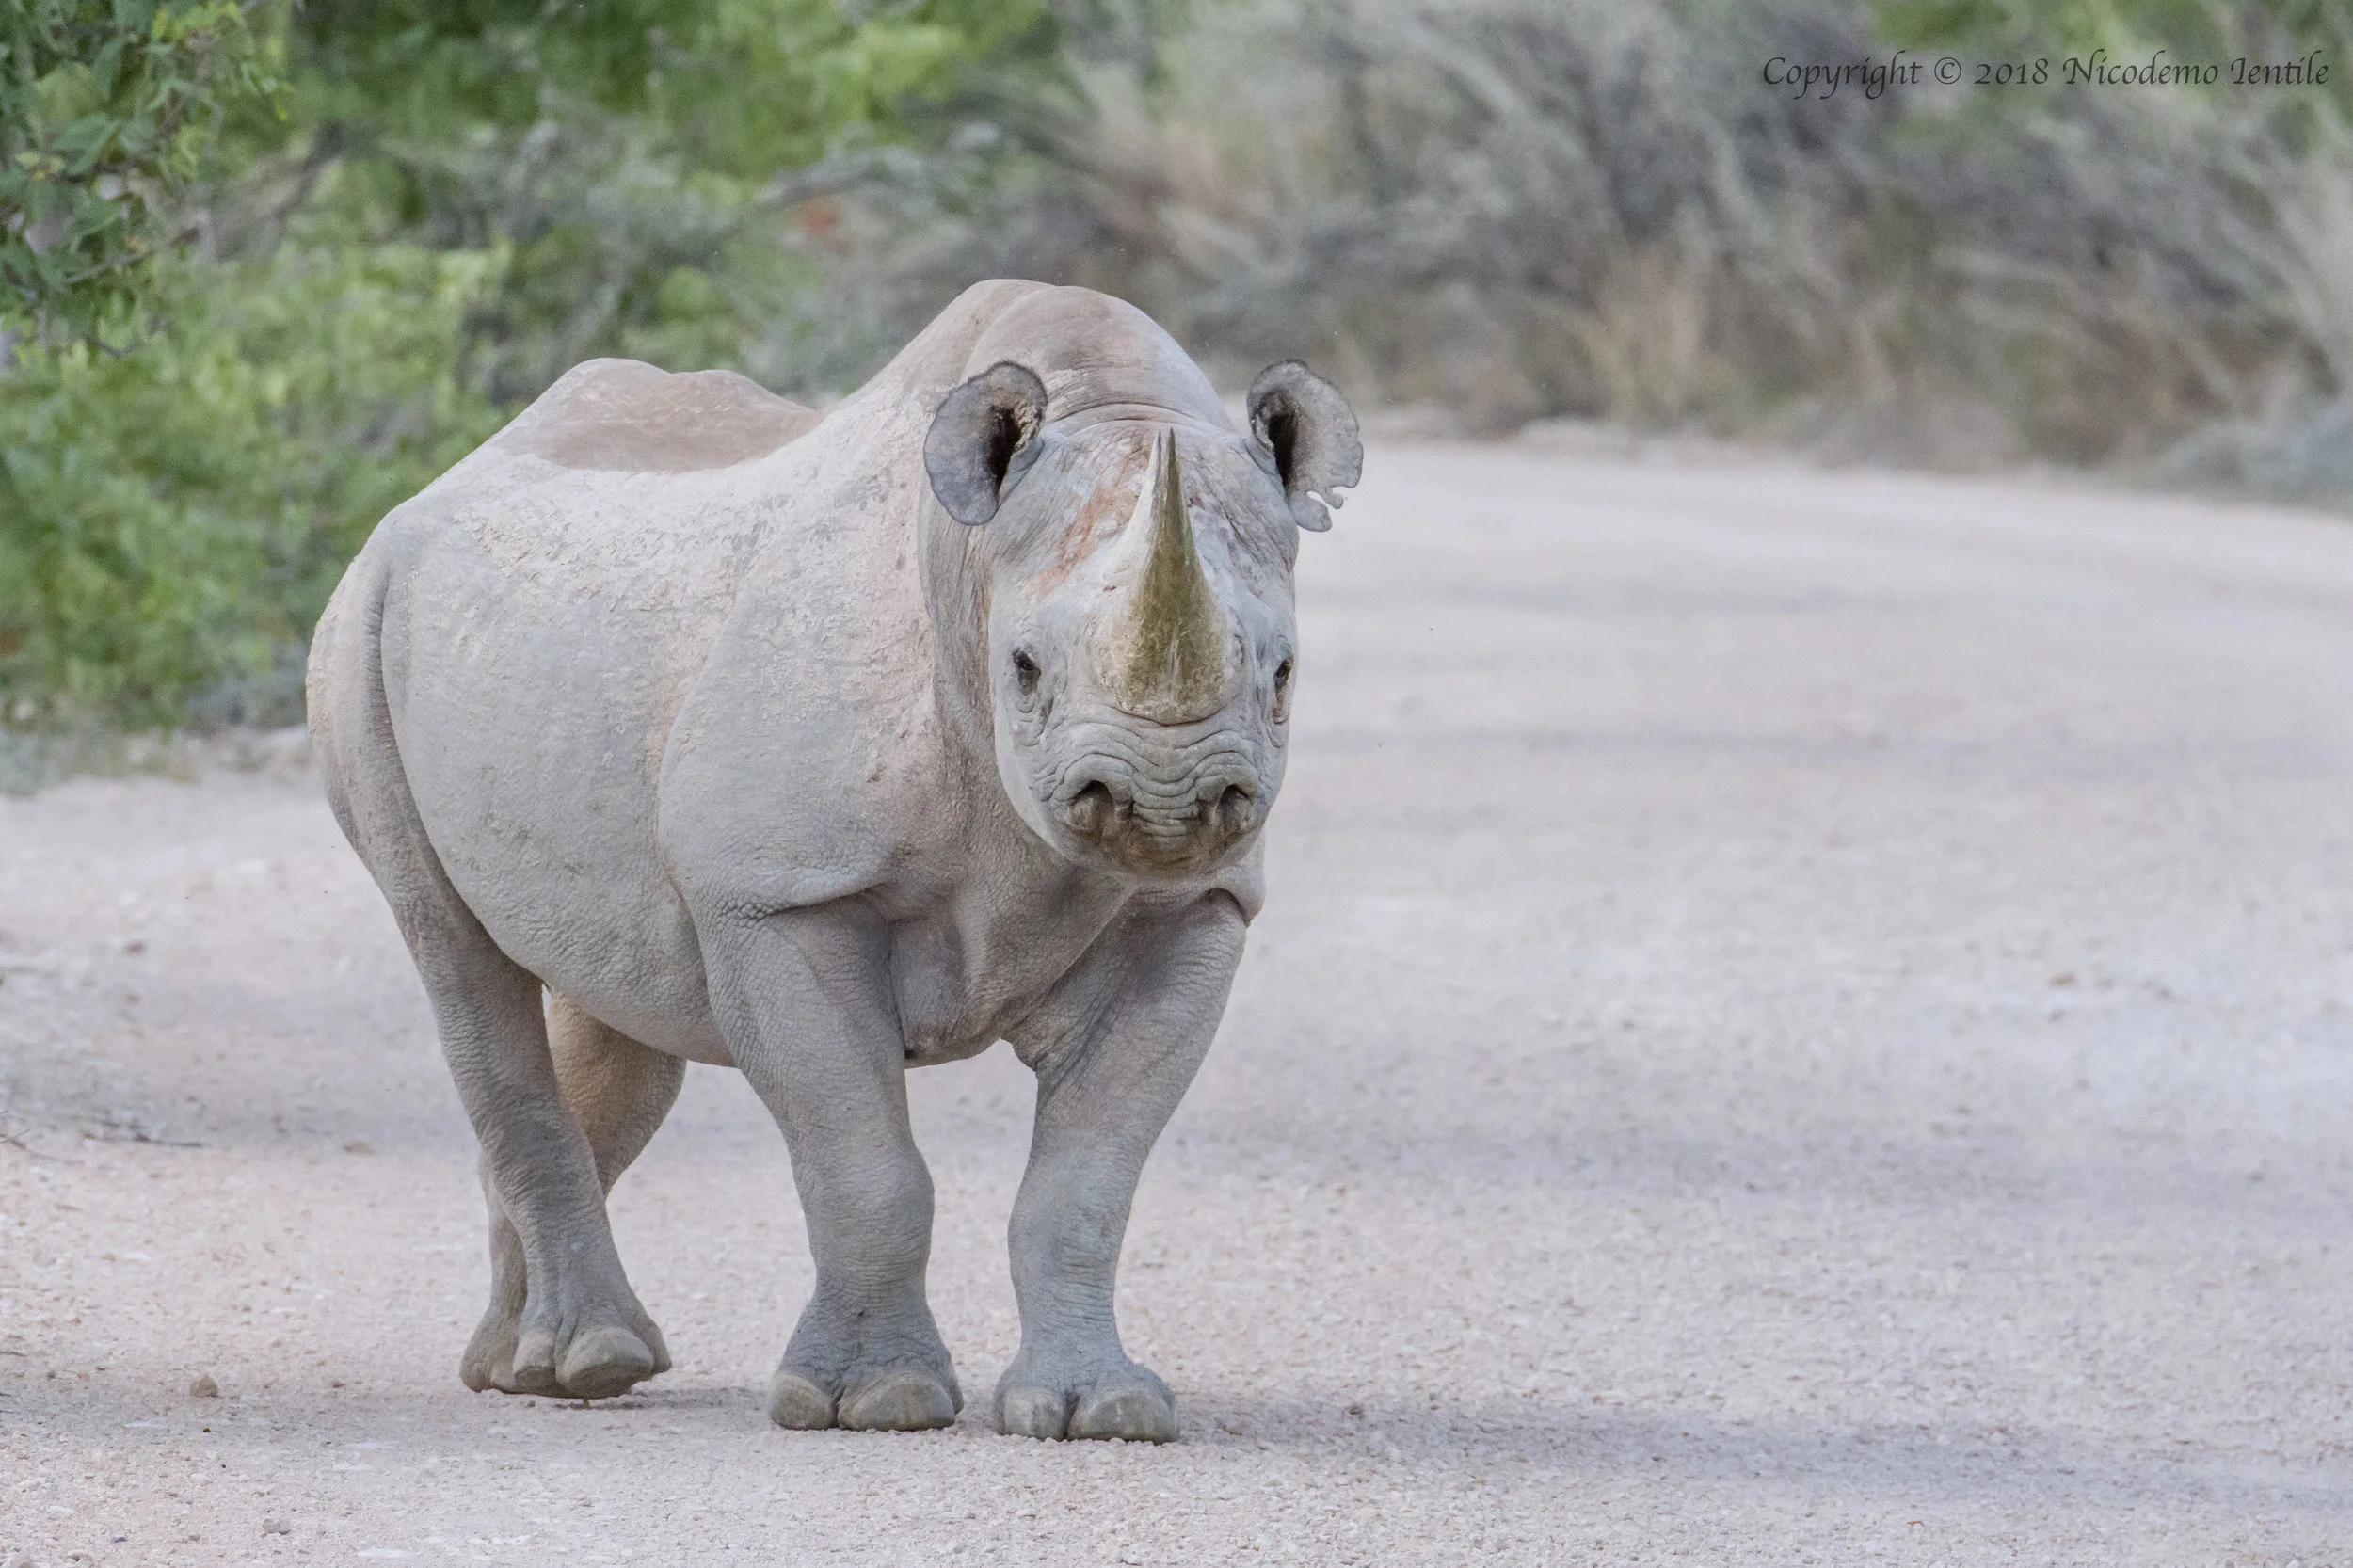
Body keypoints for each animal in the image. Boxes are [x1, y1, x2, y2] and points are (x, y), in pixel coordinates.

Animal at [305, 280, 1360, 1441]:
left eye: (1283, 672)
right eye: (1023, 669)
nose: (1161, 803)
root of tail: (440, 482)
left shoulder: (1194, 909)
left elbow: (1088, 1181)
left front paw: (1103, 1409)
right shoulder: (778, 898)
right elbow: (864, 1164)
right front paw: (874, 1401)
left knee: (619, 1017)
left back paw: (520, 1364)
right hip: (360, 627)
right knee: (453, 951)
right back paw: (586, 1362)